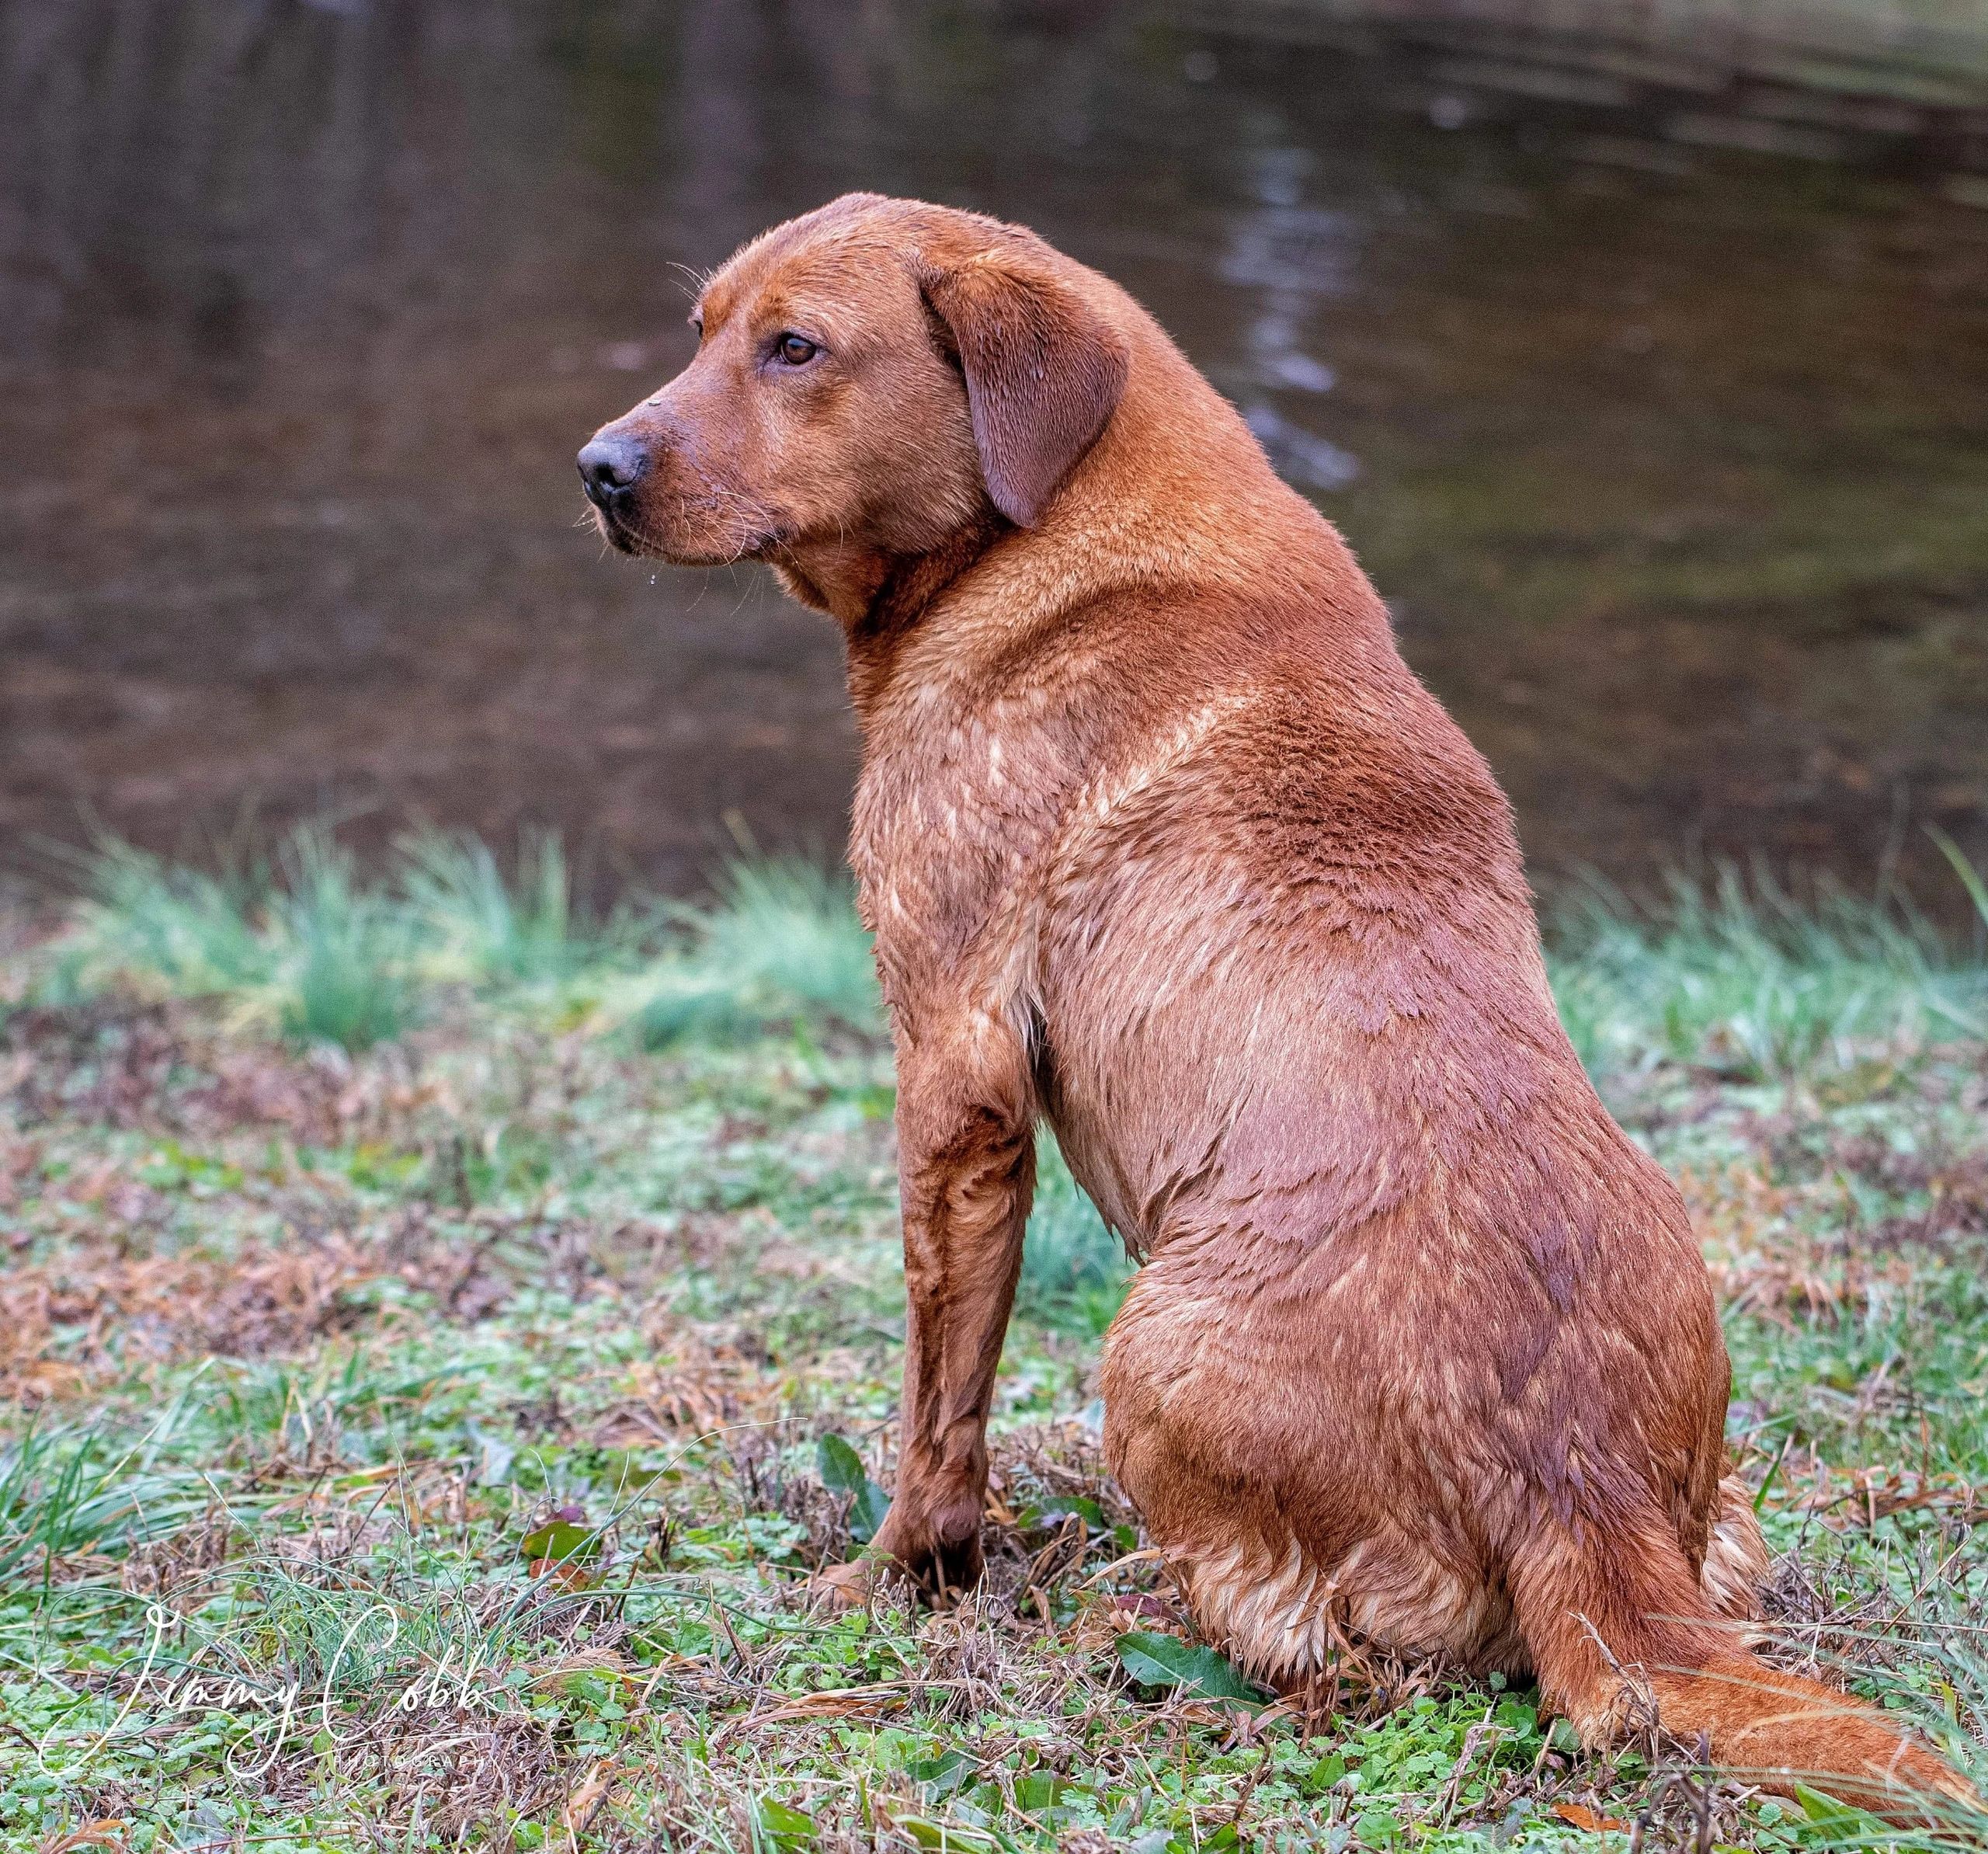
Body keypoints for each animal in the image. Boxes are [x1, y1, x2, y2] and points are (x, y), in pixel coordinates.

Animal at [580, 196, 1972, 1814]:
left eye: (796, 347)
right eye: (699, 334)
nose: (597, 467)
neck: (1054, 529)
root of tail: (1584, 1499)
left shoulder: (954, 1069)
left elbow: (939, 1407)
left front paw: (901, 1578)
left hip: (1148, 1349)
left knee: (1322, 1653)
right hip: (1717, 1494)